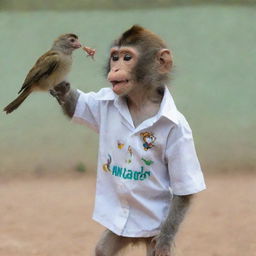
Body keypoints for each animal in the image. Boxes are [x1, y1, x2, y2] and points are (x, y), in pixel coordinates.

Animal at [49, 25, 206, 255]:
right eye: (115, 57)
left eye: (127, 57)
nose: (115, 68)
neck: (141, 100)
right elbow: (77, 106)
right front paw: (59, 84)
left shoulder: (181, 132)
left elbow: (183, 192)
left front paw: (166, 239)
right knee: (104, 249)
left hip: (152, 232)